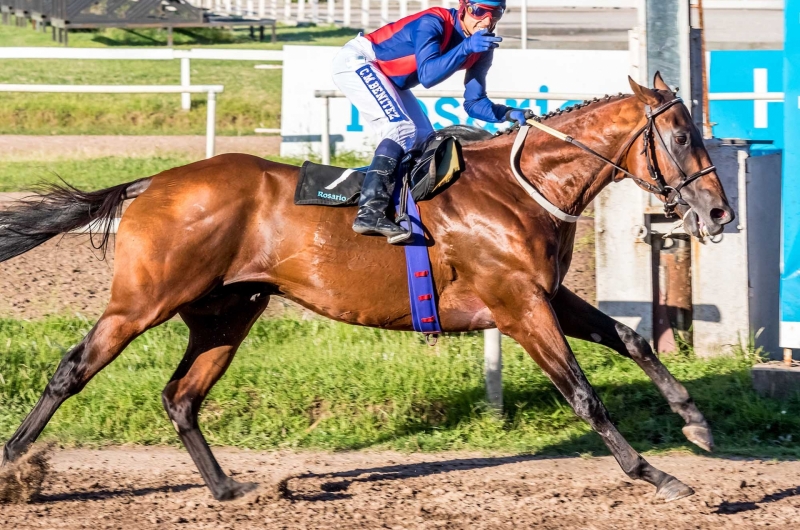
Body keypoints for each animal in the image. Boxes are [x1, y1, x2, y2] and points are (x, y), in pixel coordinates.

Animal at [1, 74, 732, 500]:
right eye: (680, 135)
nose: (721, 212)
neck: (521, 189)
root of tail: (153, 182)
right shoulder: (520, 308)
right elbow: (583, 393)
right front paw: (655, 473)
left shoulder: (546, 295)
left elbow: (634, 339)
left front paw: (695, 423)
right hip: (143, 300)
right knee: (73, 368)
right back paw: (13, 466)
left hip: (227, 312)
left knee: (181, 397)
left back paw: (231, 489)